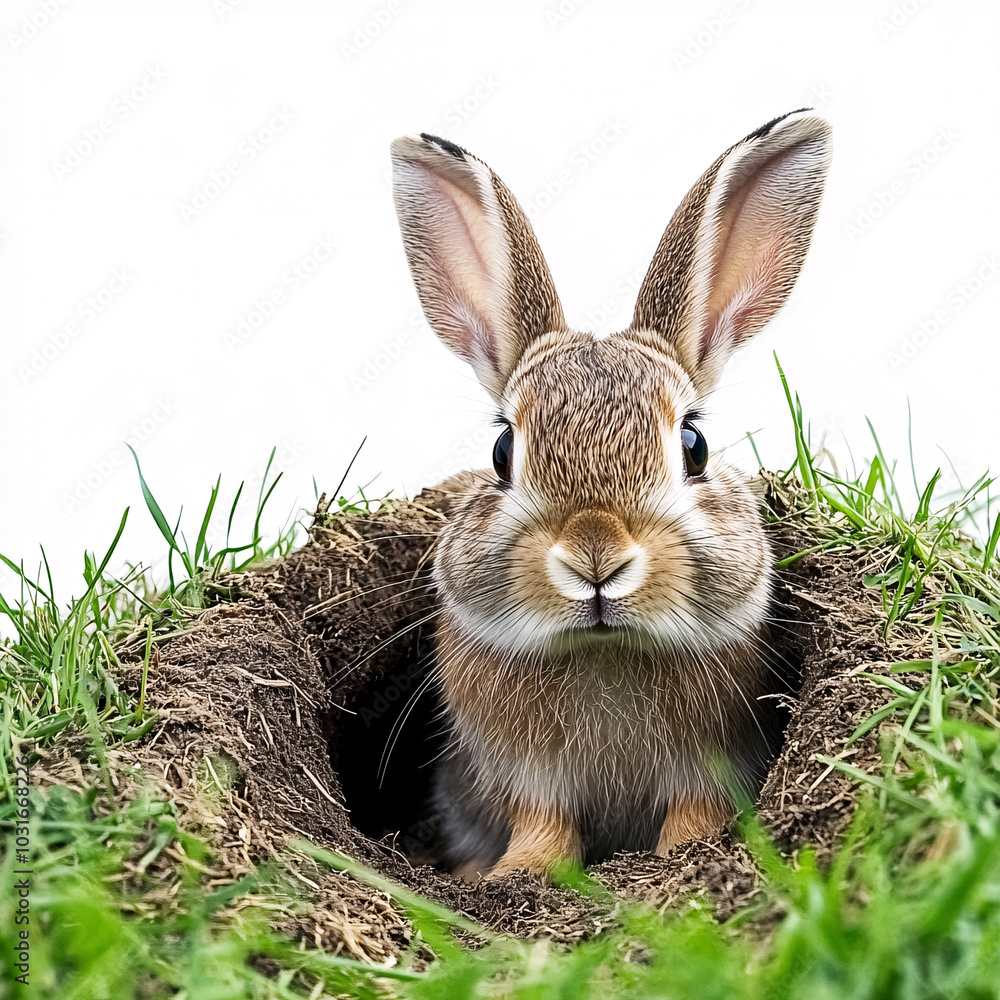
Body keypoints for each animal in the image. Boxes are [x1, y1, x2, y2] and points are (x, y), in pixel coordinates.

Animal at [390, 109, 832, 878]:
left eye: (694, 446)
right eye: (502, 452)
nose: (595, 554)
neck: (605, 650)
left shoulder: (711, 763)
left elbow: (696, 812)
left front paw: (688, 852)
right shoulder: (530, 778)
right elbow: (542, 826)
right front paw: (515, 874)